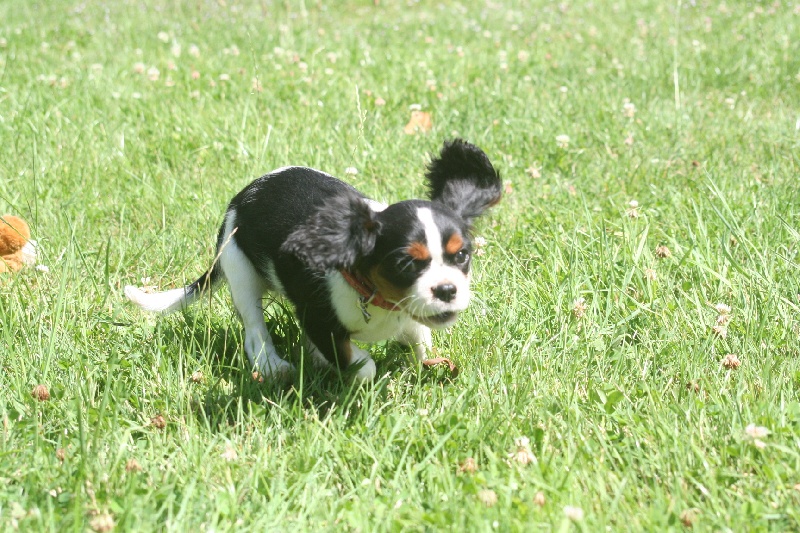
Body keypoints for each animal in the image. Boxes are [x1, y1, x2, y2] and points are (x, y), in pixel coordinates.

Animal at [125, 140, 500, 382]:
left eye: (462, 255)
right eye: (406, 264)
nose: (447, 290)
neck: (374, 295)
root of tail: (241, 196)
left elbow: (421, 337)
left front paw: (431, 363)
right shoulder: (317, 317)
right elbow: (360, 363)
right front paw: (351, 370)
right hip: (239, 267)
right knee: (255, 331)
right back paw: (273, 366)